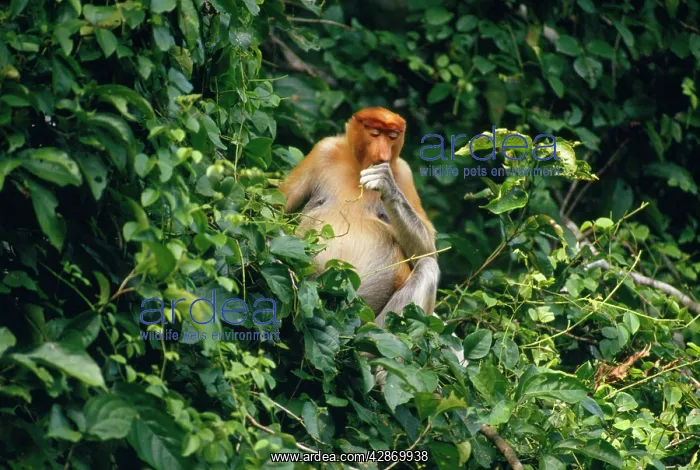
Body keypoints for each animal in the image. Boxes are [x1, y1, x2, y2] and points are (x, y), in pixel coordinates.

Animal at [280, 107, 465, 368]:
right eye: (375, 133)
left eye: (392, 136)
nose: (383, 154)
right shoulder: (322, 150)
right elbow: (279, 202)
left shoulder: (403, 172)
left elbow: (428, 249)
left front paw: (385, 185)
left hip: (374, 323)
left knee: (428, 268)